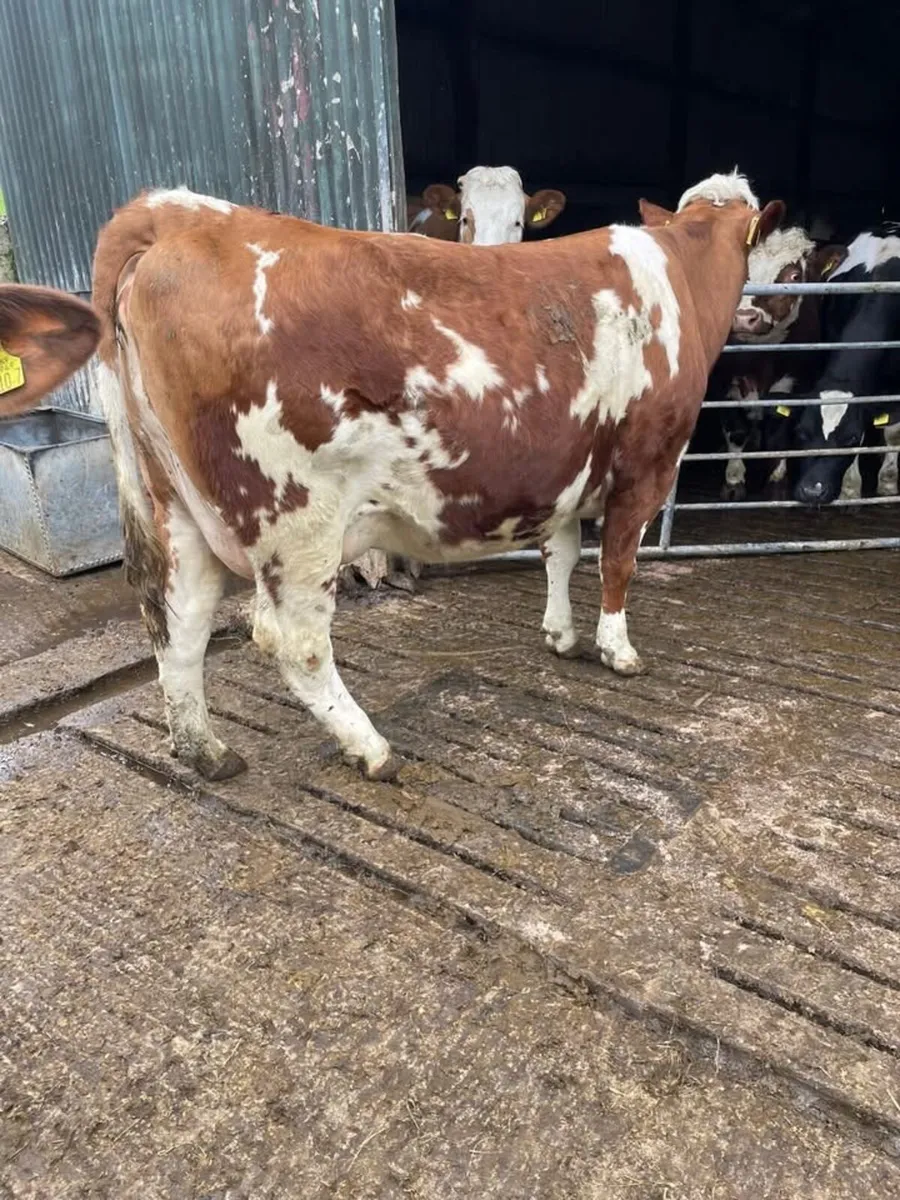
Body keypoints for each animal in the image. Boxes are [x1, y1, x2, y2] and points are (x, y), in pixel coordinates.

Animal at [710, 227, 846, 500]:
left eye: (794, 276)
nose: (744, 318)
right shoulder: (723, 383)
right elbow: (735, 430)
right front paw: (734, 481)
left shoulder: (795, 381)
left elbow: (779, 433)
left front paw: (776, 482)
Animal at [793, 223, 900, 506]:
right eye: (802, 432)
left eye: (851, 437)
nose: (813, 491)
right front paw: (850, 490)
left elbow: (893, 432)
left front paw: (888, 483)